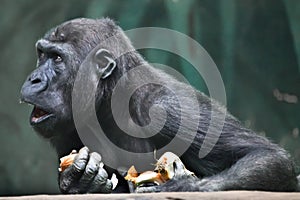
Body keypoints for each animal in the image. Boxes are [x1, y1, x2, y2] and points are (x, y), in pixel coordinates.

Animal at [19, 18, 298, 193]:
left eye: (57, 58)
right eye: (41, 54)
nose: (34, 79)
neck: (110, 98)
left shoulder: (169, 109)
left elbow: (268, 156)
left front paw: (185, 185)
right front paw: (80, 181)